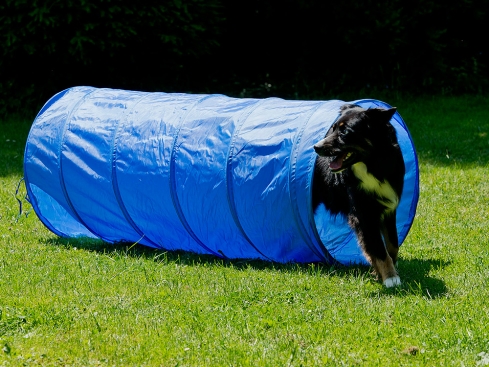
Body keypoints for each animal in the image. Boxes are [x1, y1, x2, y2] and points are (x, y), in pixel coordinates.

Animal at [312, 103, 404, 288]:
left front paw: (381, 269)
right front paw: (390, 277)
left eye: (345, 132)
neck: (373, 167)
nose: (316, 147)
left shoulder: (388, 210)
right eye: (332, 129)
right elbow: (379, 249)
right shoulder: (364, 215)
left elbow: (392, 244)